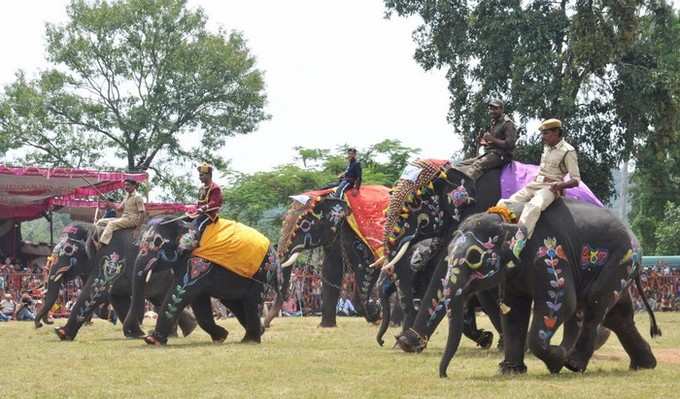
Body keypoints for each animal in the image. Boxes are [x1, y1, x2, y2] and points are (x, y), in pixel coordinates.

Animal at [52, 223, 197, 342]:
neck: (94, 229)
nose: (47, 323)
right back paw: (189, 329)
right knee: (162, 300)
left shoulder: (112, 257)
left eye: (68, 250)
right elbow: (116, 297)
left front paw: (61, 333)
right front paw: (135, 334)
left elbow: (97, 291)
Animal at [125, 217, 284, 346]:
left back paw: (250, 341)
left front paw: (152, 340)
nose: (138, 333)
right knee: (234, 302)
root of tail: (275, 254)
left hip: (263, 271)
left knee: (252, 301)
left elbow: (182, 293)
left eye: (158, 242)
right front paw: (221, 337)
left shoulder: (199, 263)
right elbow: (198, 302)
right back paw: (257, 333)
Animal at [274, 187, 386, 328]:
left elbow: (367, 267)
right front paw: (326, 326)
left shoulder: (363, 242)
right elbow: (330, 270)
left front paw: (376, 314)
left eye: (305, 225)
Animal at [436, 200, 660, 378]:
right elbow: (513, 310)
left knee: (594, 304)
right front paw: (509, 371)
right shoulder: (513, 272)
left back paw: (573, 363)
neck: (509, 219)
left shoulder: (548, 253)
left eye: (474, 257)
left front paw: (557, 361)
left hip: (621, 259)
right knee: (618, 316)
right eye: (447, 251)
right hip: (621, 268)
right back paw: (645, 365)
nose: (444, 374)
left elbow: (563, 303)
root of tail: (633, 237)